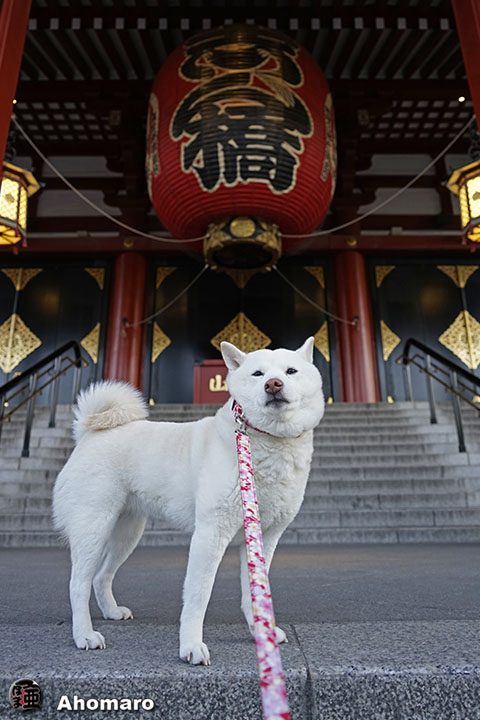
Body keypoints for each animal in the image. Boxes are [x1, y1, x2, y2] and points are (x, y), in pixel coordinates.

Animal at [52, 338, 324, 664]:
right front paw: (191, 646)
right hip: (94, 527)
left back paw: (111, 611)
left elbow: (255, 593)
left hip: (127, 533)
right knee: (78, 584)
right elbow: (198, 596)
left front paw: (261, 633)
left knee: (101, 577)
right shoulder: (210, 535)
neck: (264, 443)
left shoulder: (265, 538)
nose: (273, 384)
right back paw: (84, 635)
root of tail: (89, 433)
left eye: (291, 371)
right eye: (258, 374)